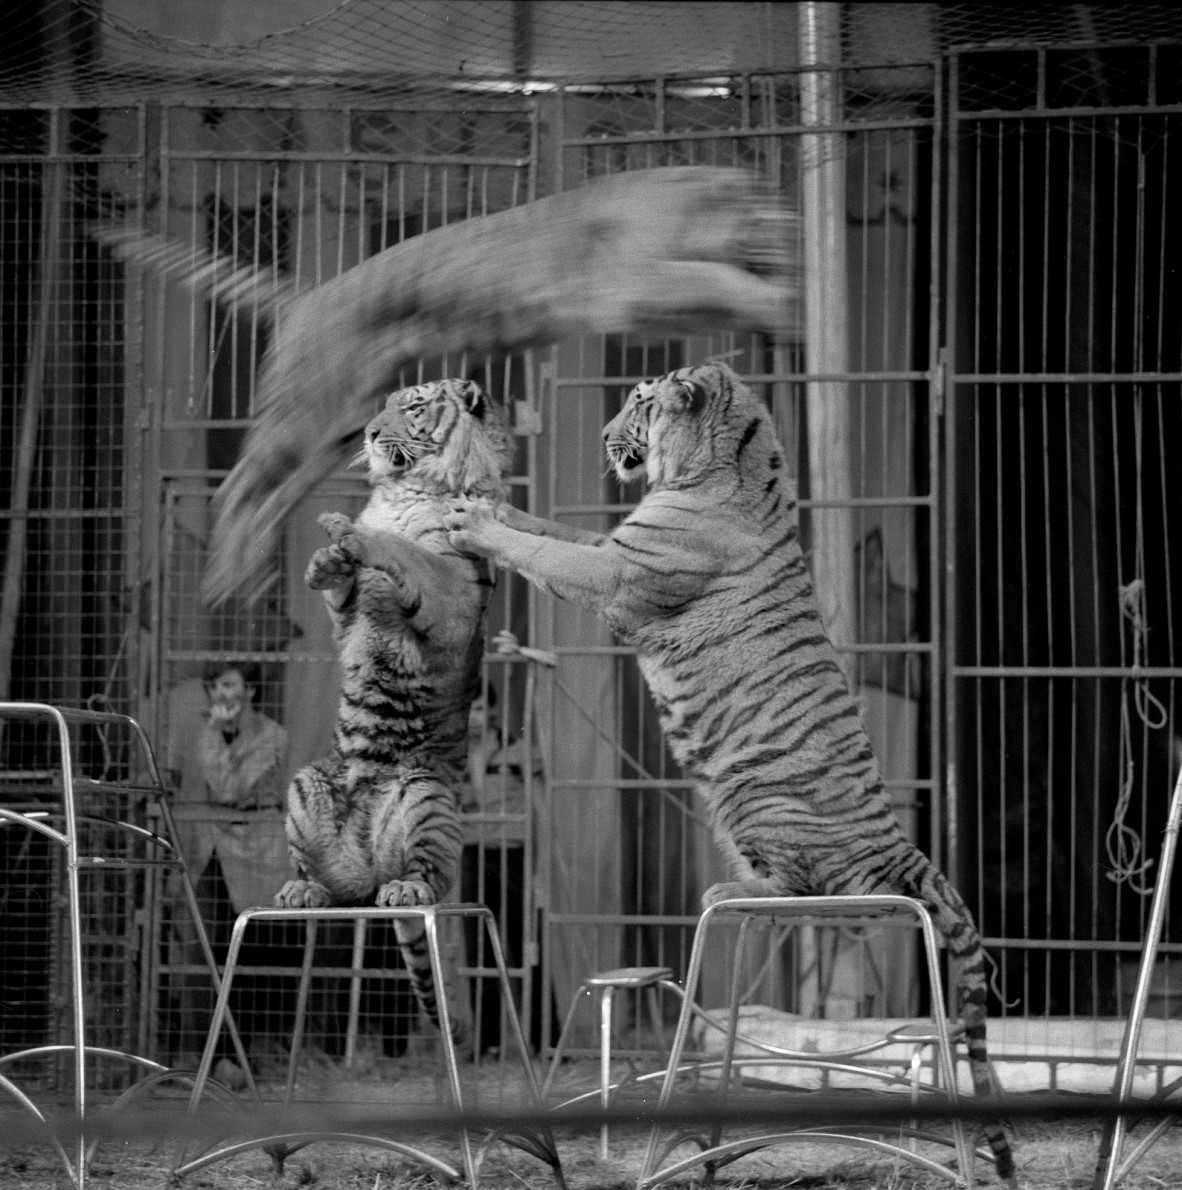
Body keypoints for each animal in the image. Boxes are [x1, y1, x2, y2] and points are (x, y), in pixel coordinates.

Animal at [278, 378, 514, 1042]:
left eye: (412, 406)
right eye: (383, 405)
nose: (368, 432)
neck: (407, 487)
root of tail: (368, 869)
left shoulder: (452, 591)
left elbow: (411, 556)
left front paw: (354, 536)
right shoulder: (347, 620)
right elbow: (342, 598)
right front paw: (326, 562)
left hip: (423, 792)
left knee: (429, 875)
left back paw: (406, 887)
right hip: (306, 784)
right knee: (324, 880)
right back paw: (302, 892)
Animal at [447, 364, 1018, 1190]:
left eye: (639, 402)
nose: (603, 436)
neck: (730, 463)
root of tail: (902, 849)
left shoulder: (617, 571)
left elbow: (547, 553)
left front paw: (475, 523)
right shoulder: (611, 541)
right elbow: (549, 529)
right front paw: (491, 504)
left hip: (754, 800)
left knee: (803, 896)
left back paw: (726, 892)